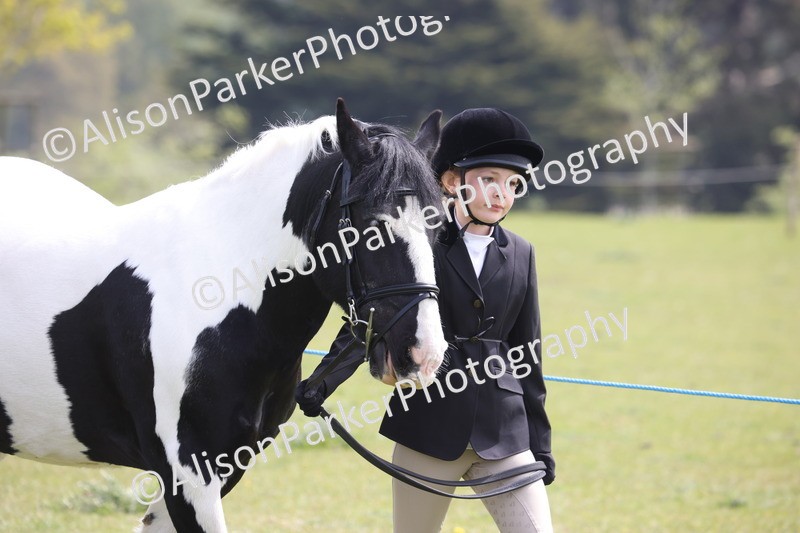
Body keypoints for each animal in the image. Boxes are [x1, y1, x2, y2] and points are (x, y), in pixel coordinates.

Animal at [0, 98, 448, 532]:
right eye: (372, 227)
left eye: (438, 225)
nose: (423, 353)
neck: (211, 291)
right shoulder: (188, 472)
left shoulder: (224, 464)